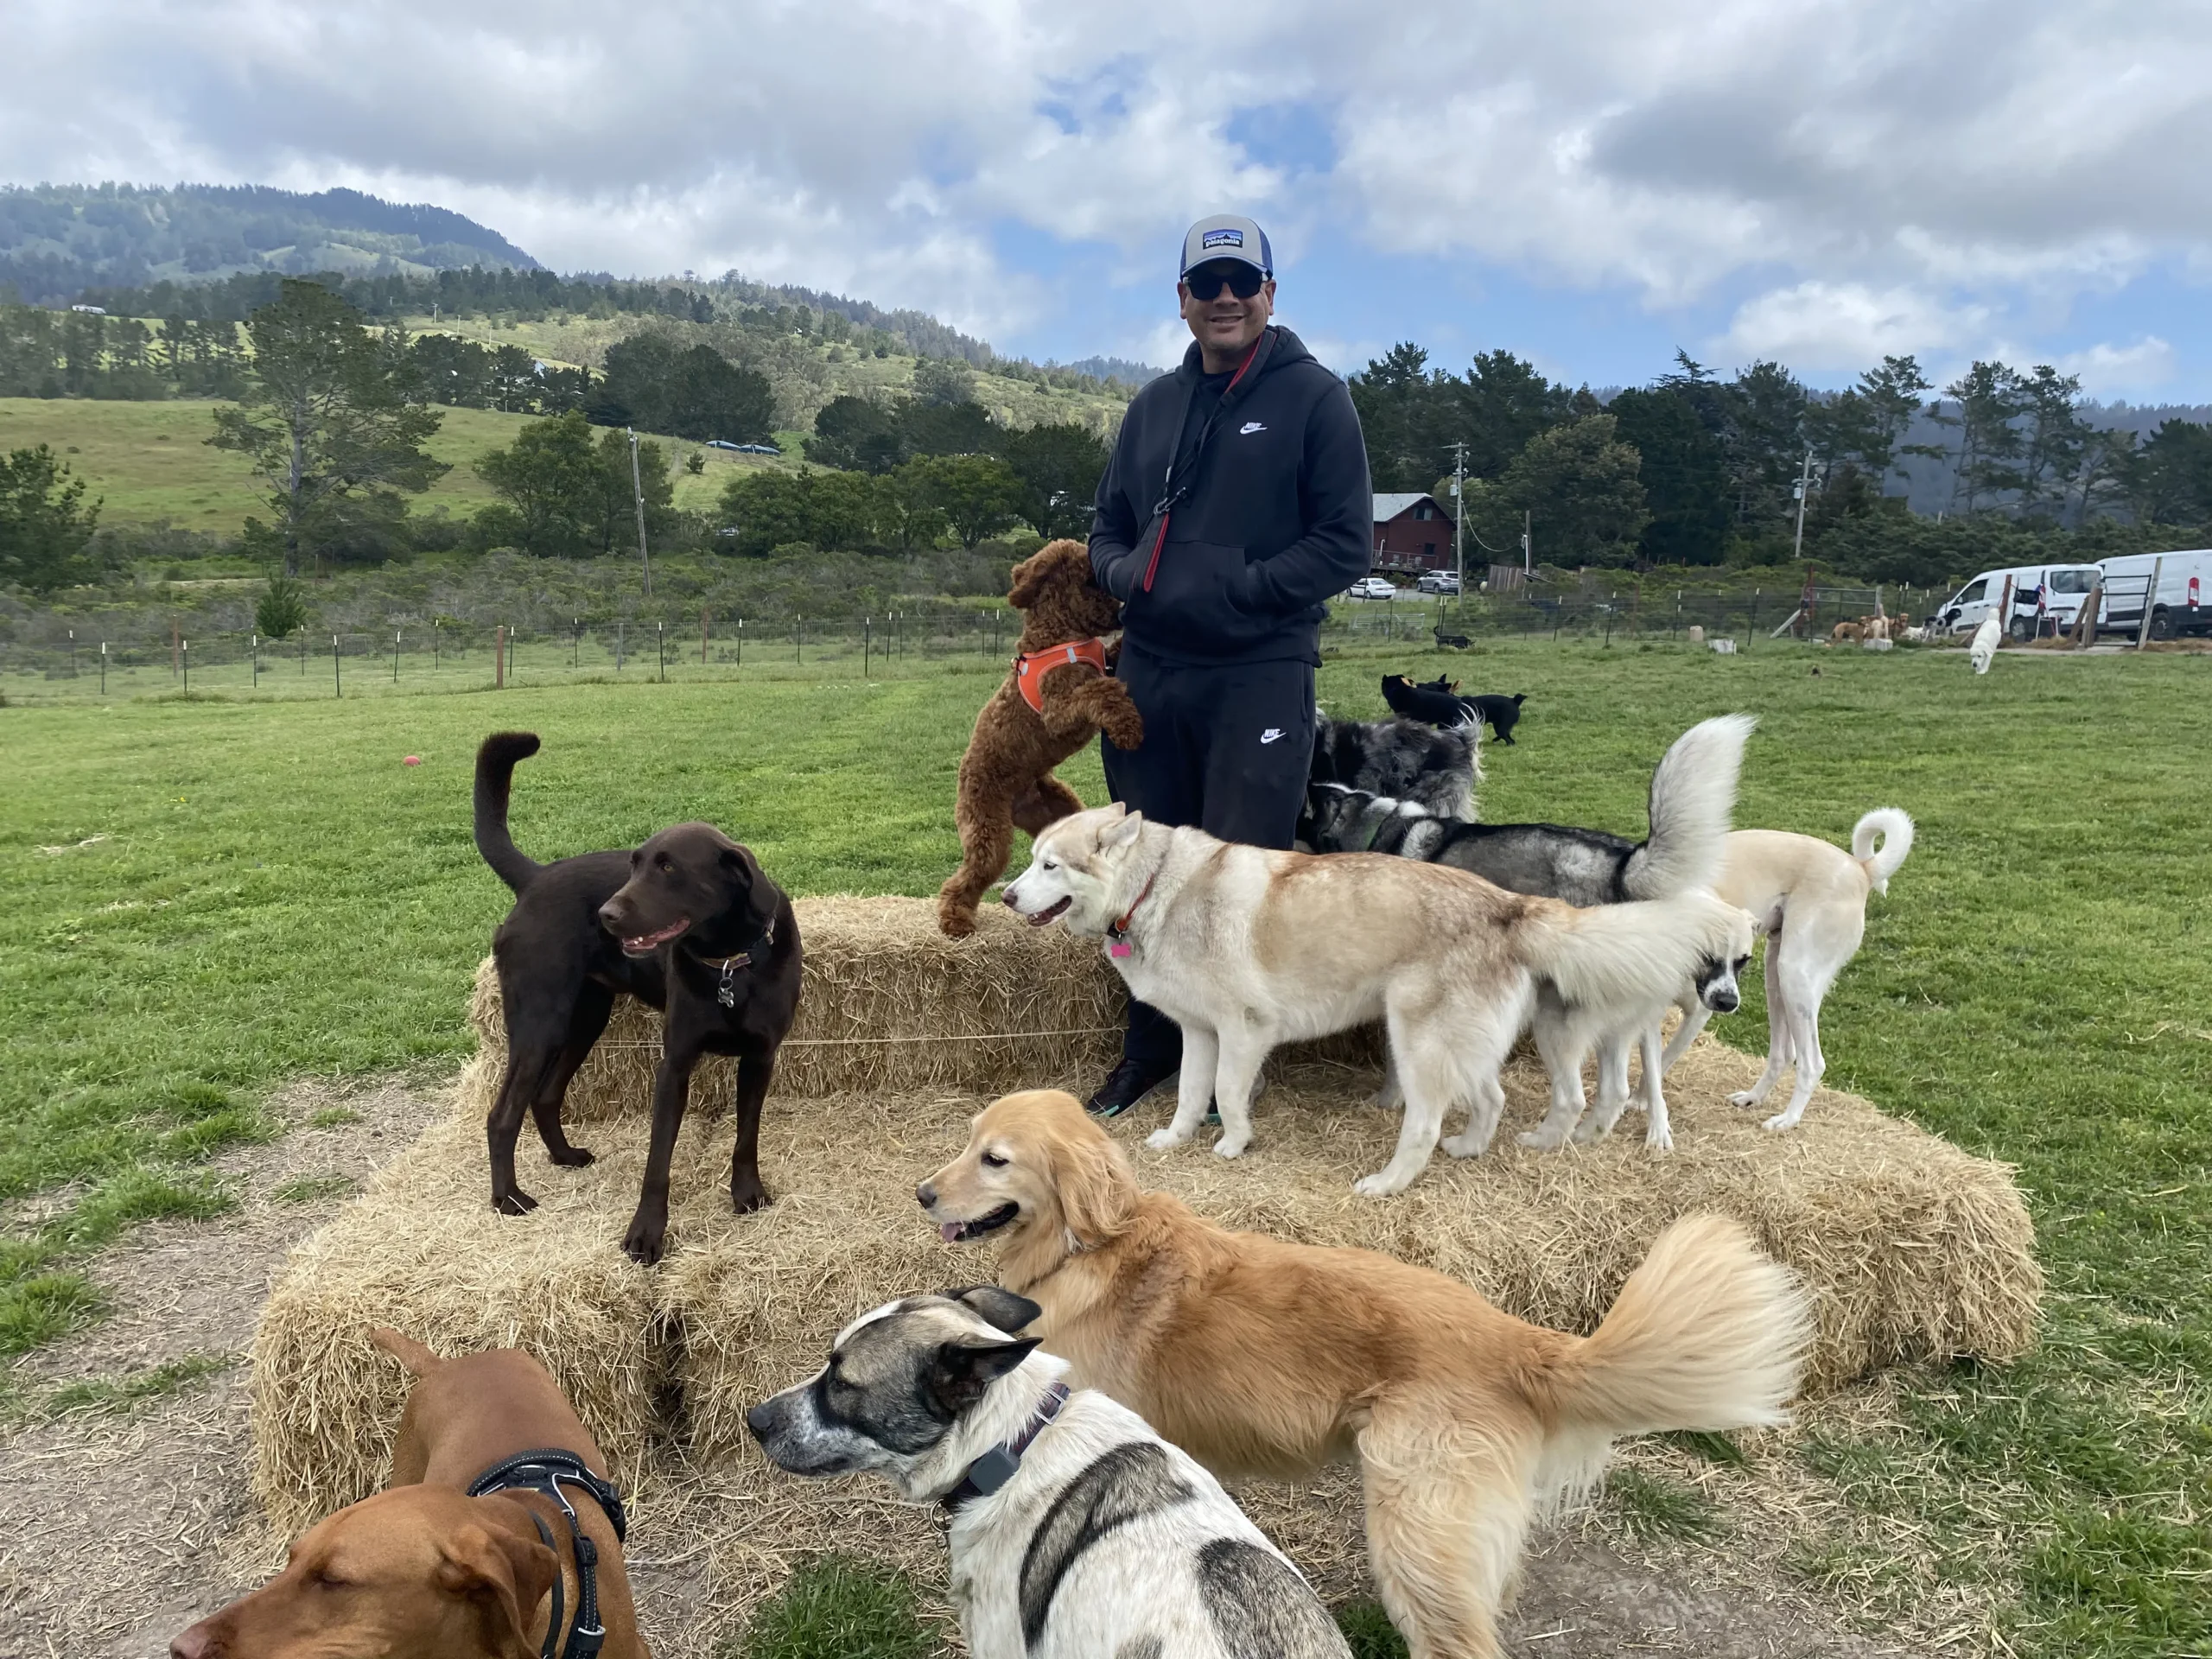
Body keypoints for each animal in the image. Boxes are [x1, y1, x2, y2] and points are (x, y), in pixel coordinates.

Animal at [474, 733, 802, 1264]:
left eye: (668, 867)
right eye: (634, 865)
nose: (606, 915)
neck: (727, 963)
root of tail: (535, 878)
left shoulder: (760, 1058)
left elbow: (745, 1137)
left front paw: (747, 1194)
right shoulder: (675, 1064)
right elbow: (658, 1160)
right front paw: (646, 1233)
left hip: (585, 1019)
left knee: (545, 1095)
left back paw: (564, 1156)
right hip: (540, 1023)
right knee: (502, 1115)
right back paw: (509, 1198)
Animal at [918, 1090, 1811, 1659]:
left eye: (995, 1160)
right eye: (965, 1139)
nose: (923, 1192)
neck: (1086, 1244)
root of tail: (1516, 1336)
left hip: (1418, 1540)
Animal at [938, 539, 1143, 937]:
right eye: (1092, 582)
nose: (1121, 614)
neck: (1058, 633)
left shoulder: (1100, 664)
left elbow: (1107, 665)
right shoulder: (1057, 713)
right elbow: (1098, 692)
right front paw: (1127, 726)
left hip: (1055, 808)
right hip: (988, 830)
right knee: (969, 875)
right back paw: (955, 920)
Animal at [1001, 804, 1753, 1195]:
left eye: (1049, 865)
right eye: (1031, 858)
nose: (1005, 896)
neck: (1159, 885)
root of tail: (1508, 904)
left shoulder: (1244, 1033)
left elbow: (1232, 1097)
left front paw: (1233, 1146)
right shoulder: (1200, 1034)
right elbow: (1190, 1093)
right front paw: (1175, 1139)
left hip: (1419, 1045)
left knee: (1424, 1125)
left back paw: (1389, 1183)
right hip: (1467, 1045)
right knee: (1494, 1100)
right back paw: (1470, 1149)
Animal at [1661, 810, 1915, 1131]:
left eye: (1738, 960)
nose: (1728, 1003)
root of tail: (1861, 867)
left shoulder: (1697, 1012)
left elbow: (1659, 1061)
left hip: (1795, 975)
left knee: (1812, 1063)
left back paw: (1788, 1119)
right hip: (1776, 974)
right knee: (1784, 1053)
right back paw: (1753, 1097)